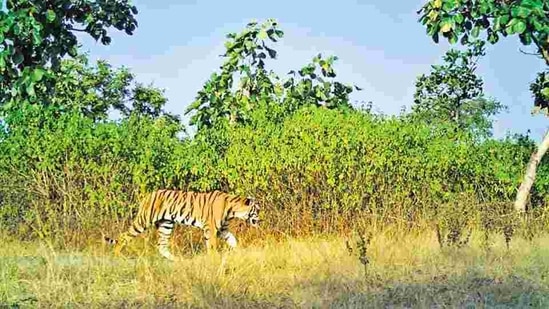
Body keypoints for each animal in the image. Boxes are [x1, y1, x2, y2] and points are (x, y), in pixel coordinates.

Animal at [105, 189, 264, 258]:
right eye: (257, 210)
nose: (260, 220)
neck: (232, 209)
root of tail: (148, 195)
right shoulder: (211, 229)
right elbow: (212, 246)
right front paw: (213, 259)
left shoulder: (222, 230)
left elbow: (233, 240)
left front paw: (239, 252)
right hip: (143, 220)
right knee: (124, 236)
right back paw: (117, 255)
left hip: (166, 224)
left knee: (161, 246)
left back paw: (175, 260)